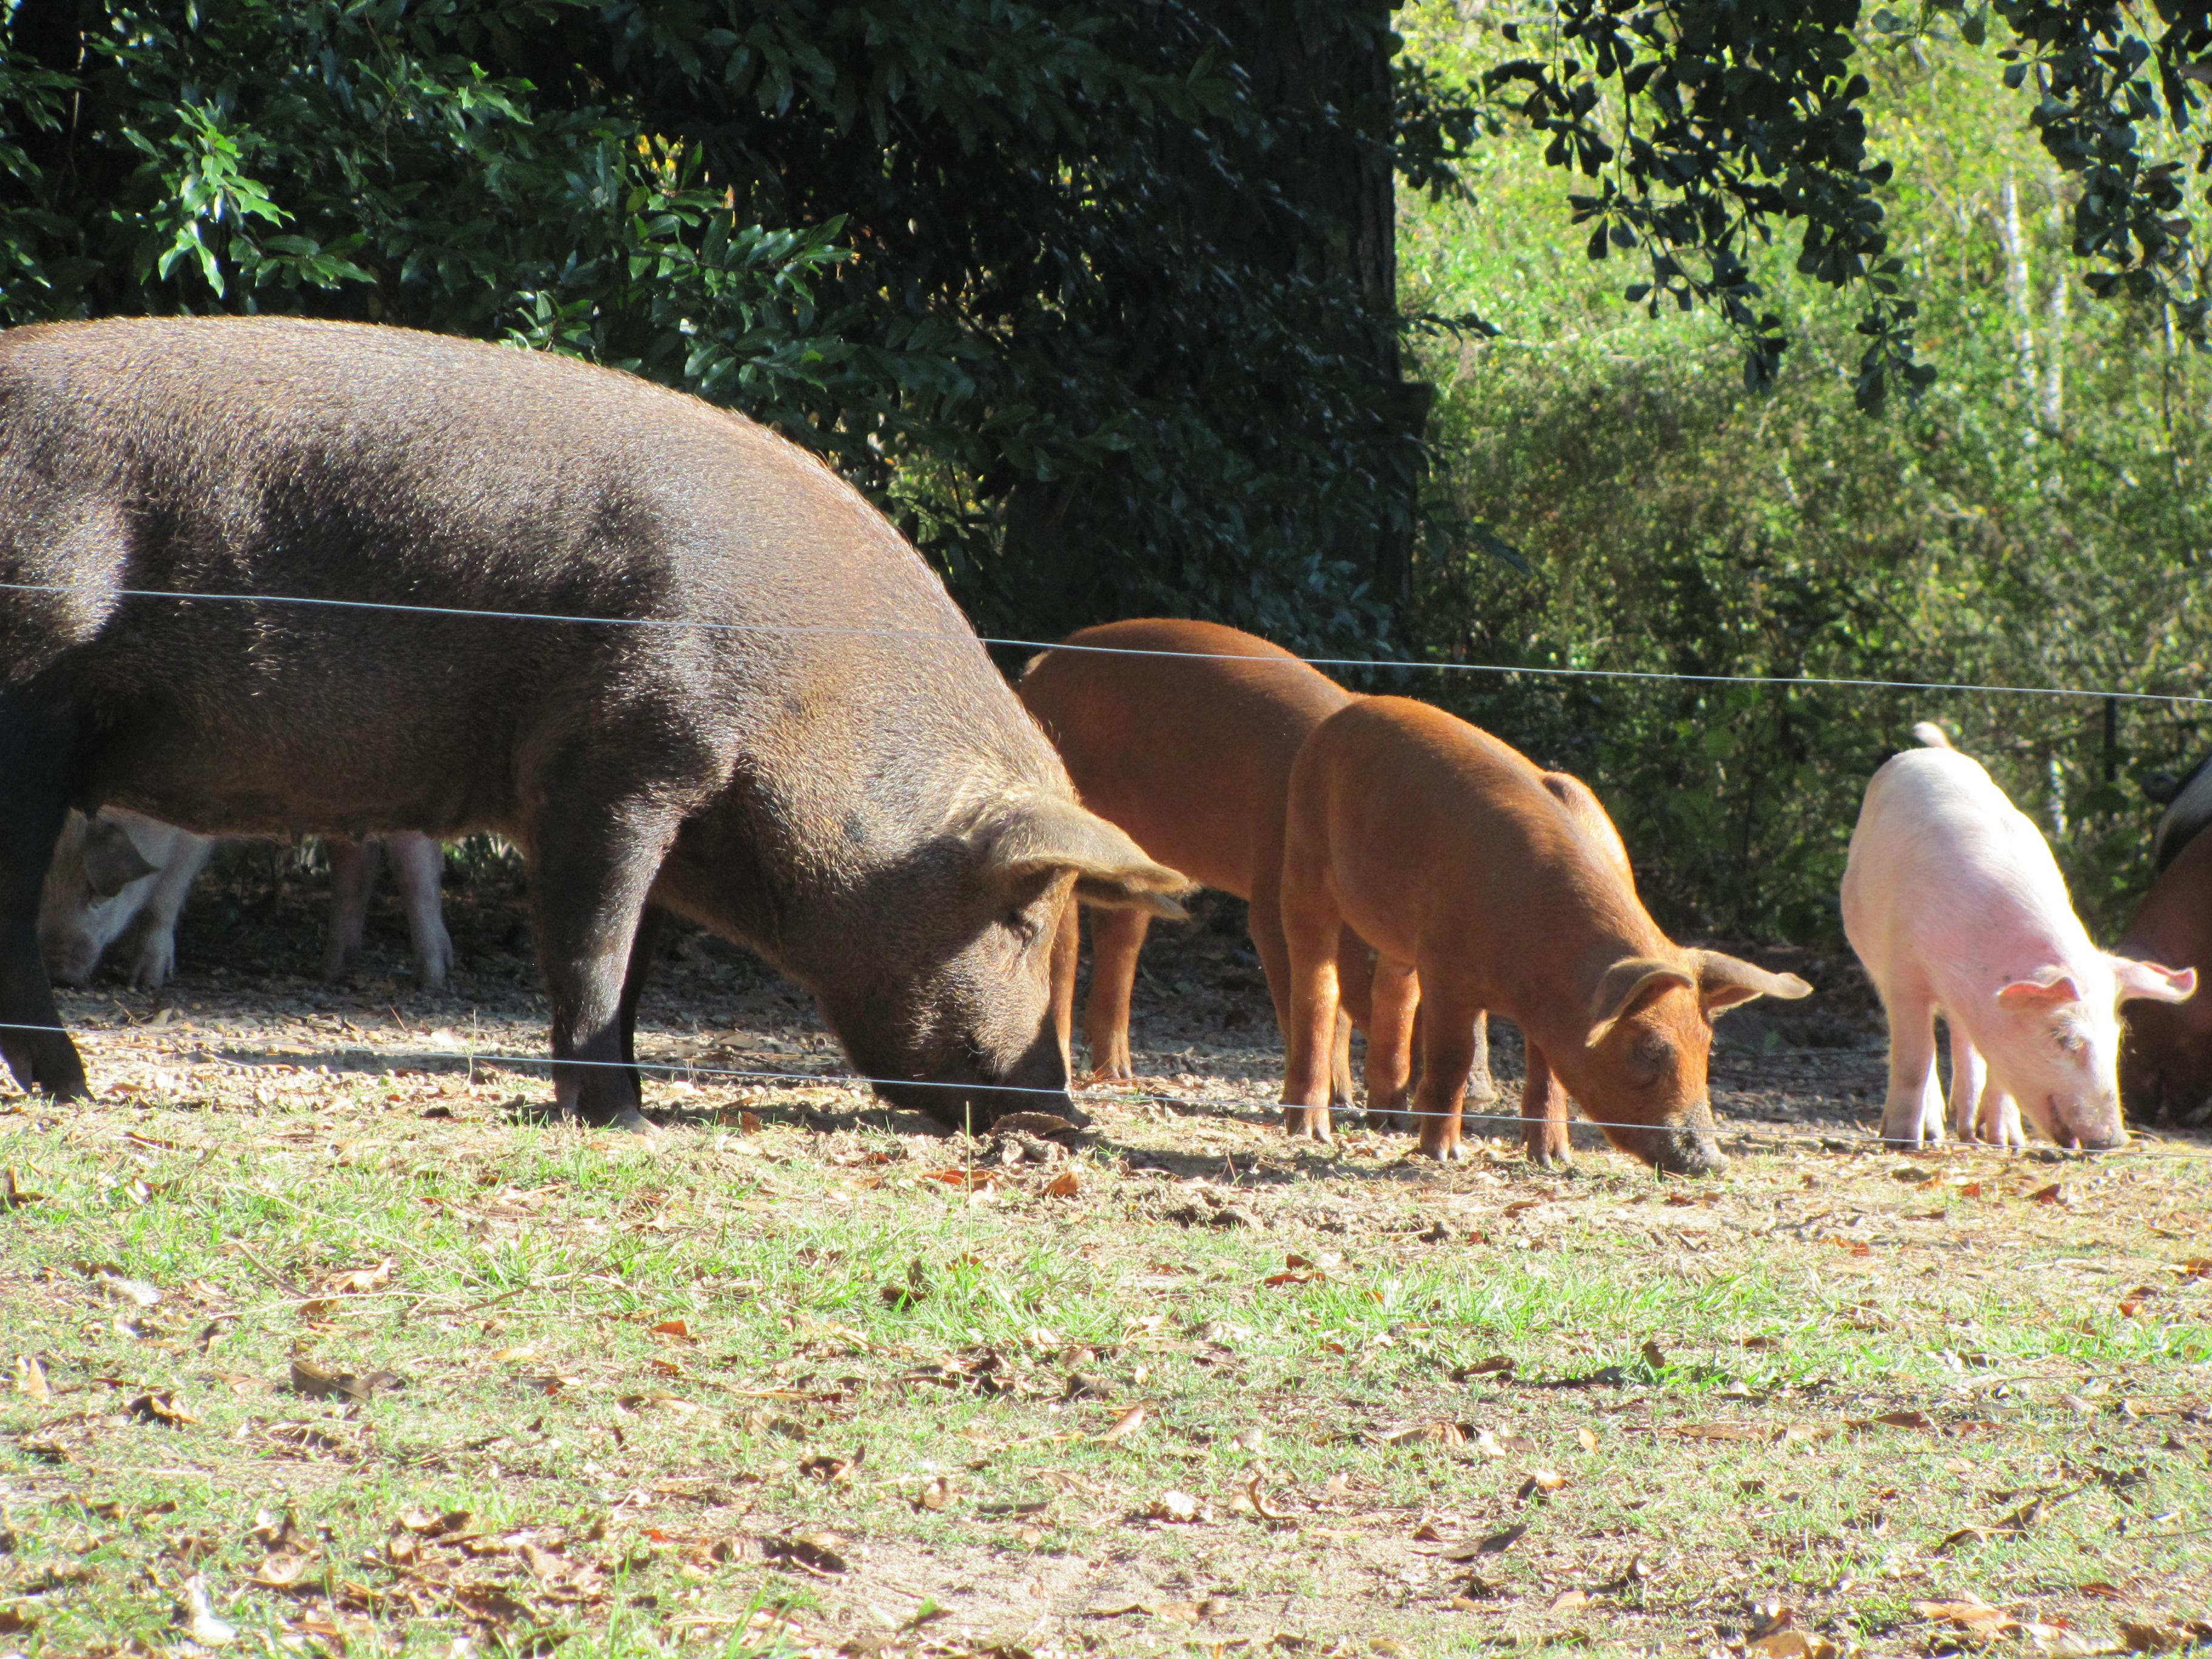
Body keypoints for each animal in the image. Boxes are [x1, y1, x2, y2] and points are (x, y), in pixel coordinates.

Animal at [1274, 694, 1805, 1176]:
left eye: (1706, 1048)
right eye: (1648, 1049)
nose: (1713, 1161)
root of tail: (1346, 713)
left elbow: (1549, 1072)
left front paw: (1552, 1160)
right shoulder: (1445, 966)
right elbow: (1453, 1058)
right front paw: (1443, 1156)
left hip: (1395, 930)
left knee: (1393, 993)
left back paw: (1390, 1120)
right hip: (1302, 854)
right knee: (1317, 985)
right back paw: (1310, 1130)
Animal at [1840, 721, 2185, 1150]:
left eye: (2117, 1038)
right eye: (2064, 1038)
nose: (2115, 1140)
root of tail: (1929, 753)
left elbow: (1996, 1068)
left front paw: (2008, 1143)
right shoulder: (1901, 965)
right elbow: (1913, 1057)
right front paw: (1903, 1142)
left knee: (1965, 1041)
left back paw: (1971, 1132)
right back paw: (1935, 1132)